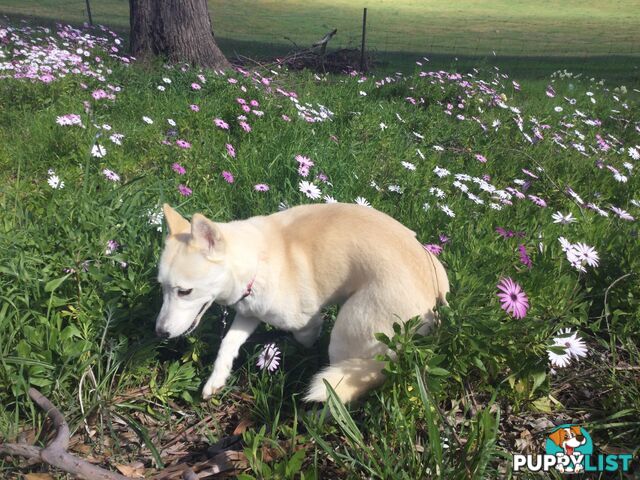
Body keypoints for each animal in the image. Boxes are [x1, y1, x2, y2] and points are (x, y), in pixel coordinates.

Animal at [154, 202, 450, 402]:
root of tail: (435, 299)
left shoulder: (306, 325)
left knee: (339, 388)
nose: (159, 333)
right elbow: (228, 344)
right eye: (162, 288)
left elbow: (303, 342)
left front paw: (295, 358)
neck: (257, 259)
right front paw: (217, 378)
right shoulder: (249, 313)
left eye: (184, 291)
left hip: (345, 335)